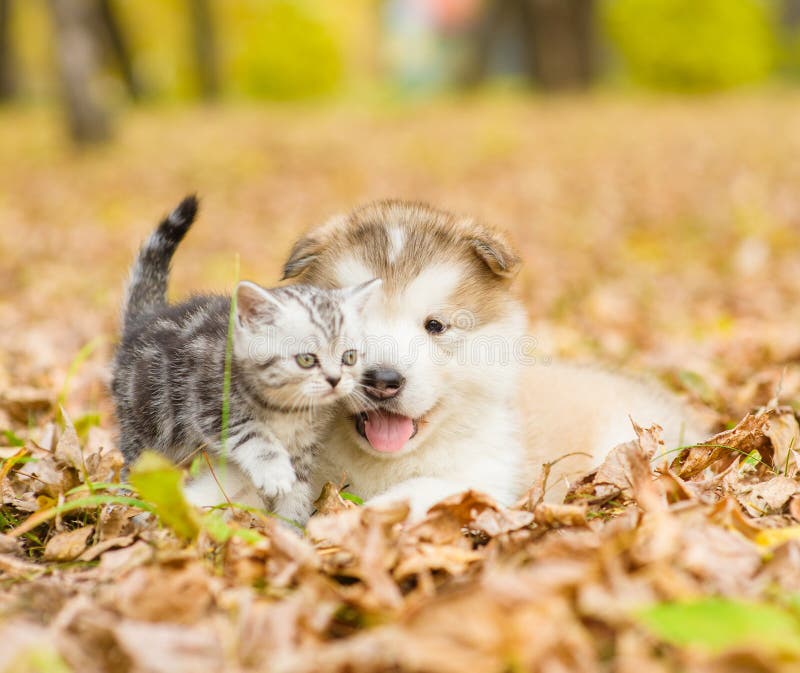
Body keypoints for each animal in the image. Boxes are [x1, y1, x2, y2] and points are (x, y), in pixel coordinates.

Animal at [110, 194, 382, 520]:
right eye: (306, 360)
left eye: (349, 357)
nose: (335, 380)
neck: (289, 409)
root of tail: (144, 319)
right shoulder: (209, 403)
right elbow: (252, 433)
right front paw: (275, 472)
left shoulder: (305, 444)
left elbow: (299, 485)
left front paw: (292, 522)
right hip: (149, 421)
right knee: (134, 463)